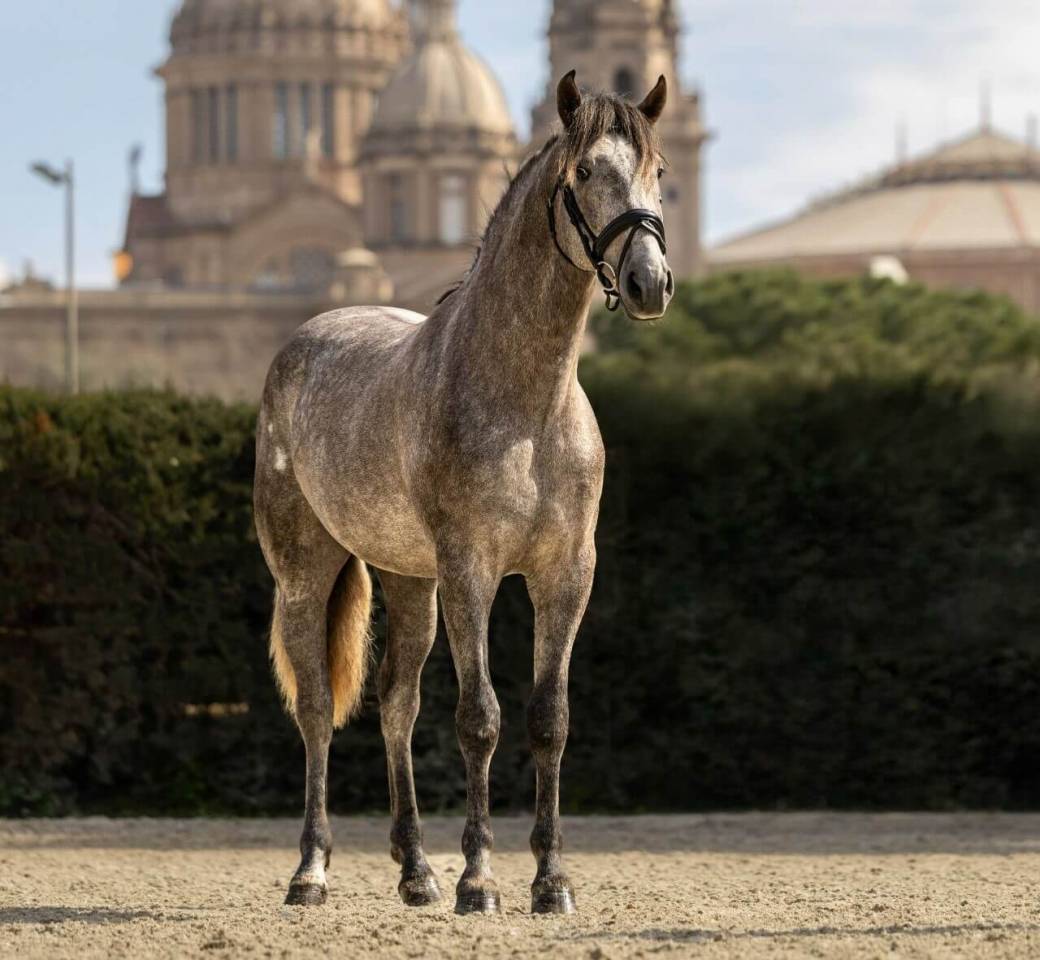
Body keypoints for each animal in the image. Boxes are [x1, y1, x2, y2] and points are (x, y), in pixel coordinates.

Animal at [253, 70, 673, 915]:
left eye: (659, 169)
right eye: (585, 171)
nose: (650, 282)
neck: (527, 401)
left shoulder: (565, 575)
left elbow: (549, 719)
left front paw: (551, 881)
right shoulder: (470, 572)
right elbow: (480, 717)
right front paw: (480, 881)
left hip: (409, 581)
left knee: (395, 702)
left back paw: (416, 869)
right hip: (307, 572)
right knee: (316, 706)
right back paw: (312, 869)